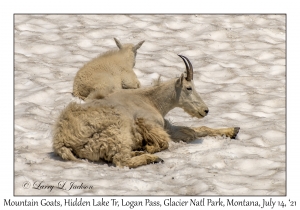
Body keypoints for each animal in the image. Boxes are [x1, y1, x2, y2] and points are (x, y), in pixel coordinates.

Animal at [52, 55, 240, 168]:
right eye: (189, 88)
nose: (205, 110)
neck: (152, 101)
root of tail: (62, 140)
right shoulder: (150, 124)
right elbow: (164, 143)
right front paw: (149, 147)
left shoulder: (166, 127)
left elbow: (198, 130)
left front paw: (233, 130)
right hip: (117, 131)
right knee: (121, 160)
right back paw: (151, 158)